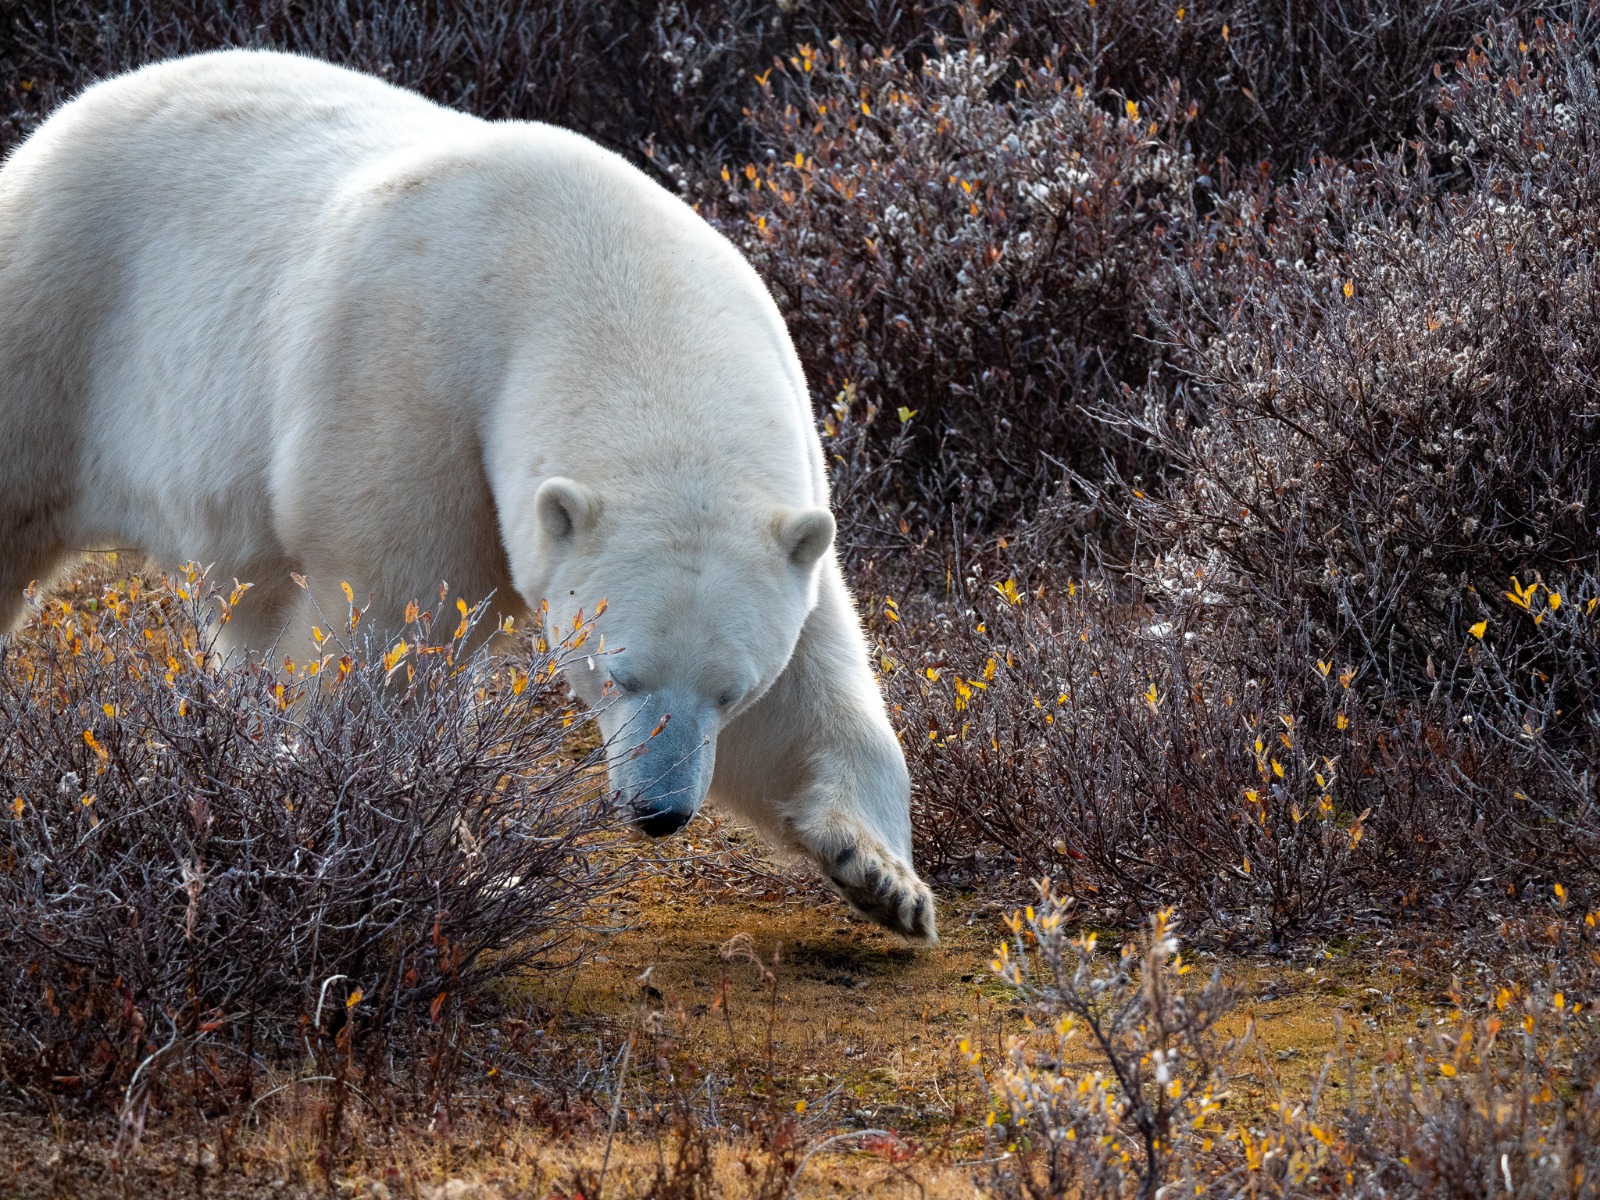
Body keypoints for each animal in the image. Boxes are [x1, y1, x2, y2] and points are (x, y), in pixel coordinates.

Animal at [0, 50, 936, 943]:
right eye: (616, 673)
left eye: (732, 691)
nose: (658, 812)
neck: (597, 273)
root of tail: (65, 117)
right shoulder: (417, 387)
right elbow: (391, 626)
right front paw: (411, 848)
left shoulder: (784, 506)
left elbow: (809, 686)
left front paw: (880, 874)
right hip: (59, 316)